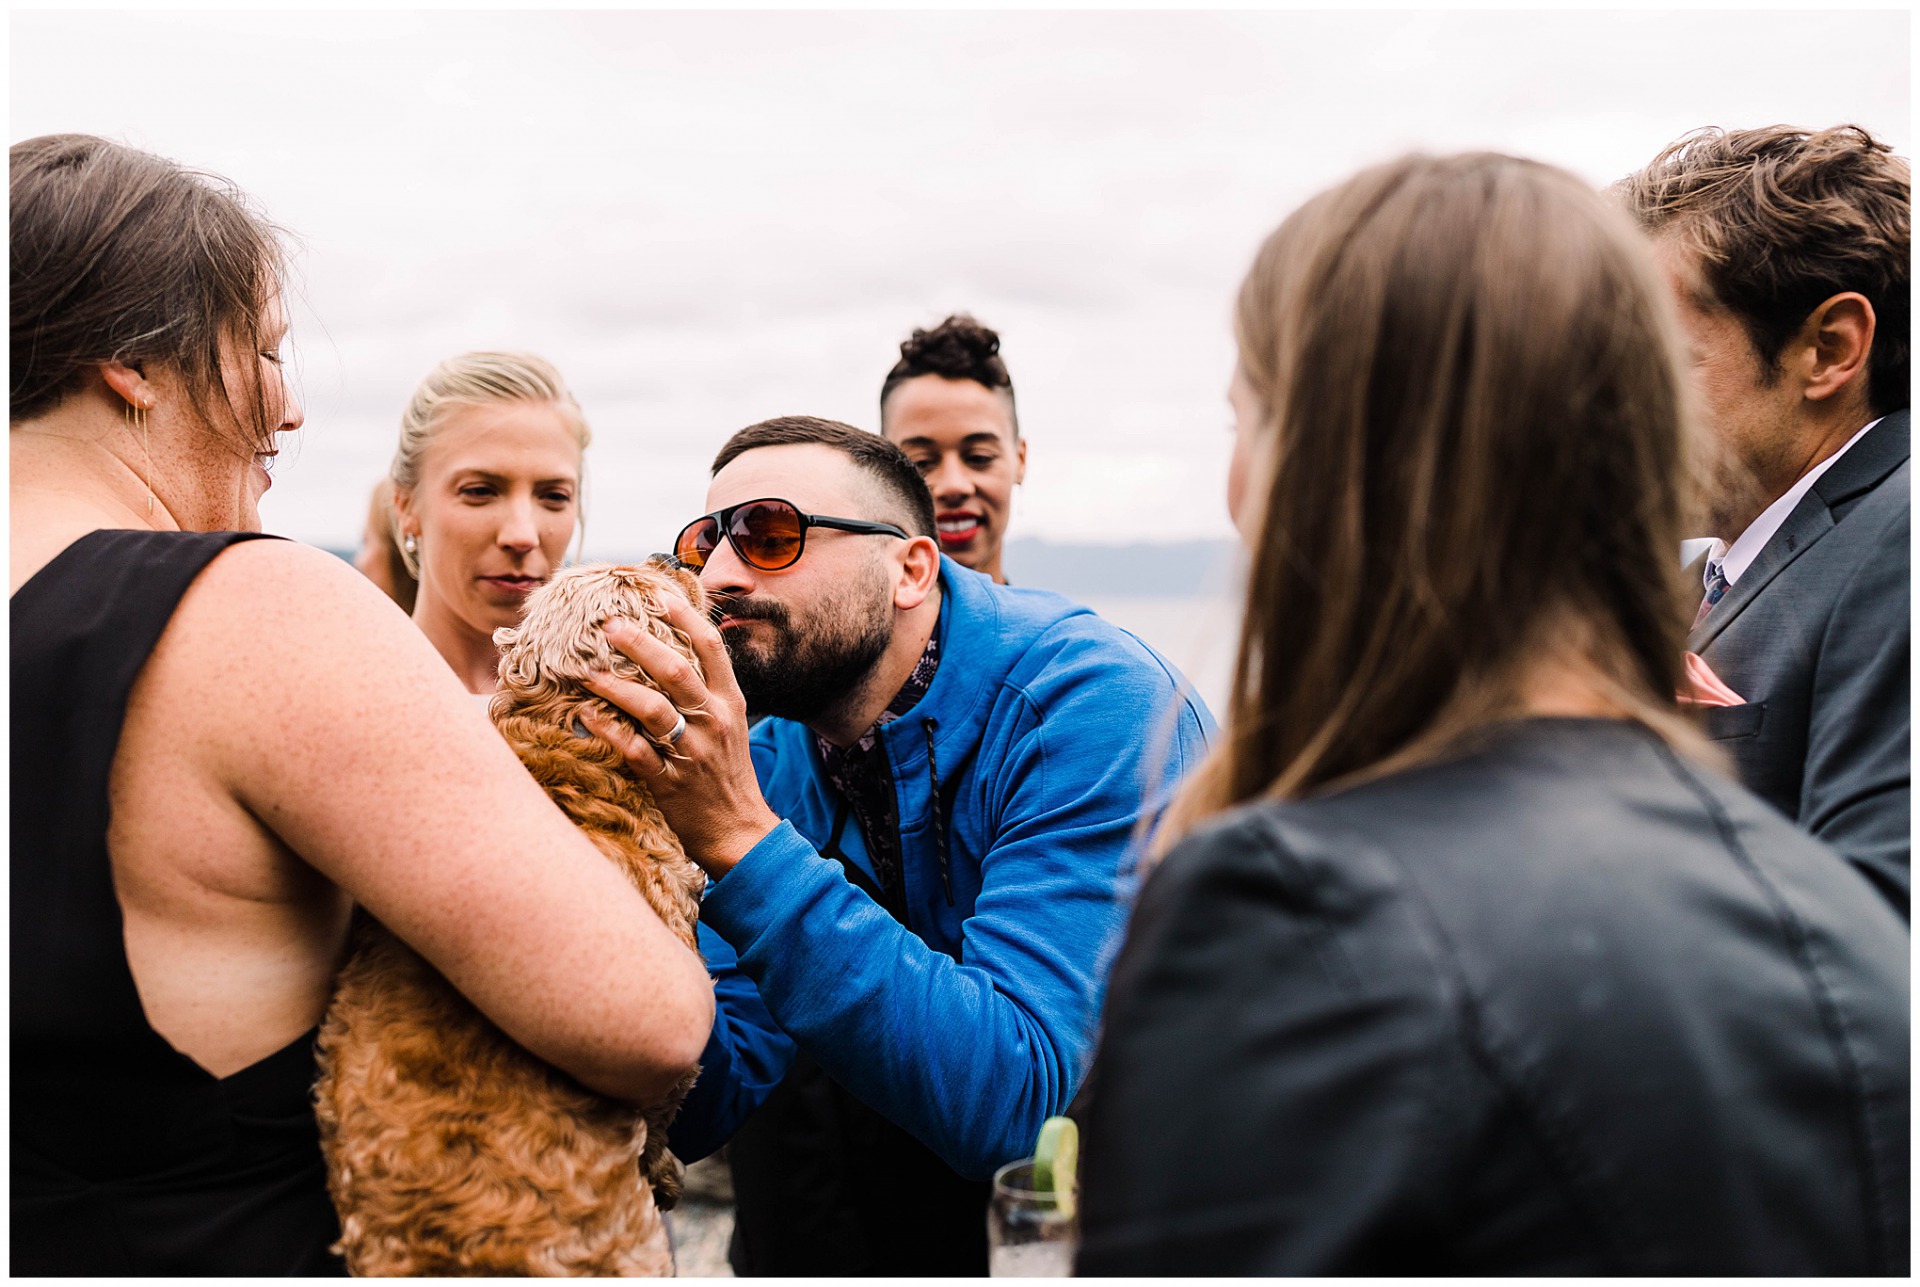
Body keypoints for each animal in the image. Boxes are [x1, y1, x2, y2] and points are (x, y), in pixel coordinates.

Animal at [314, 564, 714, 1283]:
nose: (673, 557)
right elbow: (665, 1106)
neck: (573, 745)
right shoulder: (675, 1026)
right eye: (642, 583)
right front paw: (665, 1171)